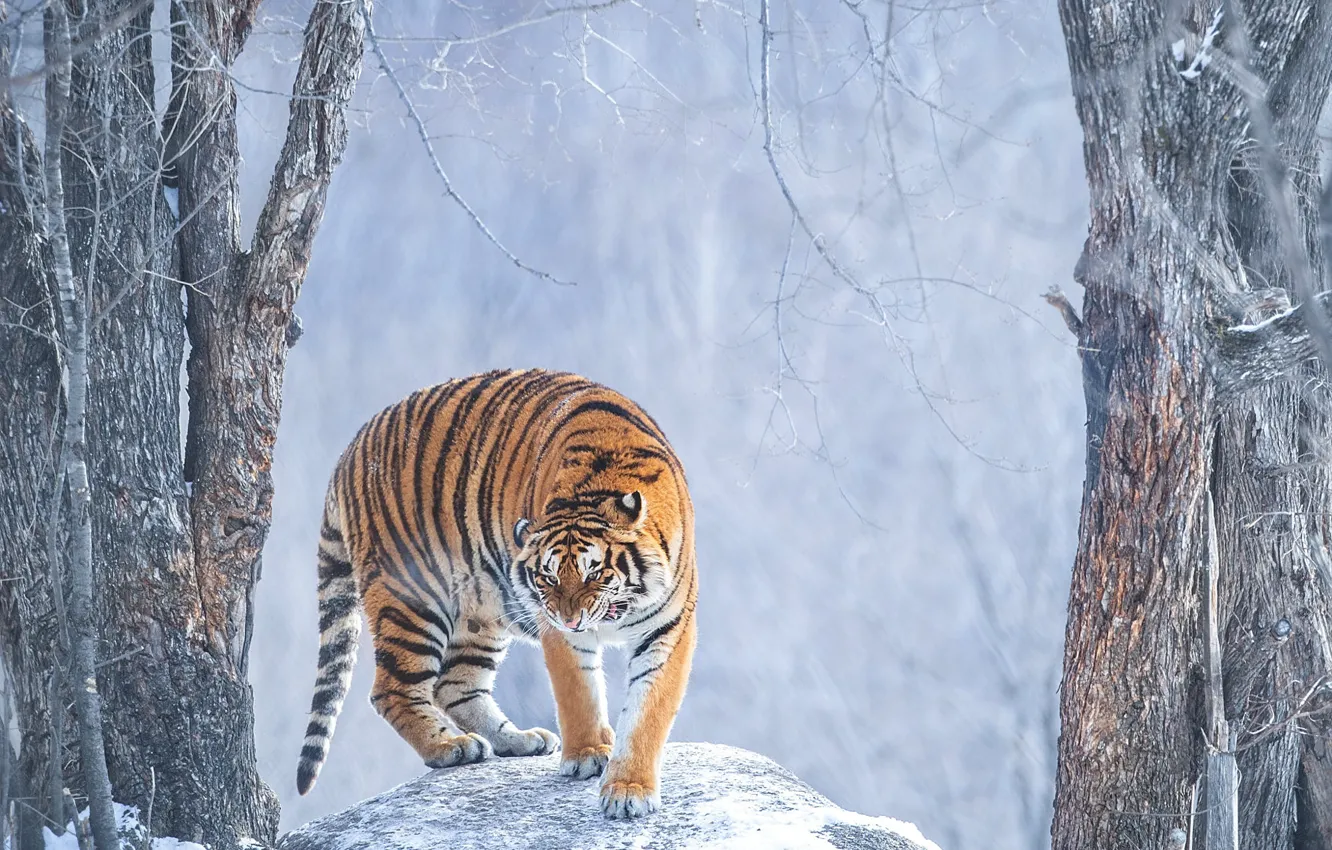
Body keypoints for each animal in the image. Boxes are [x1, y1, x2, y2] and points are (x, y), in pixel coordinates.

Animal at [295, 368, 698, 819]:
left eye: (595, 572)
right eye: (548, 577)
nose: (570, 619)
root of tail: (351, 447)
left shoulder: (668, 628)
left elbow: (649, 711)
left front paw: (629, 789)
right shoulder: (555, 628)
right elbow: (578, 693)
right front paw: (589, 754)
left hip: (479, 612)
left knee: (454, 685)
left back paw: (517, 740)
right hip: (411, 596)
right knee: (393, 689)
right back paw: (450, 746)